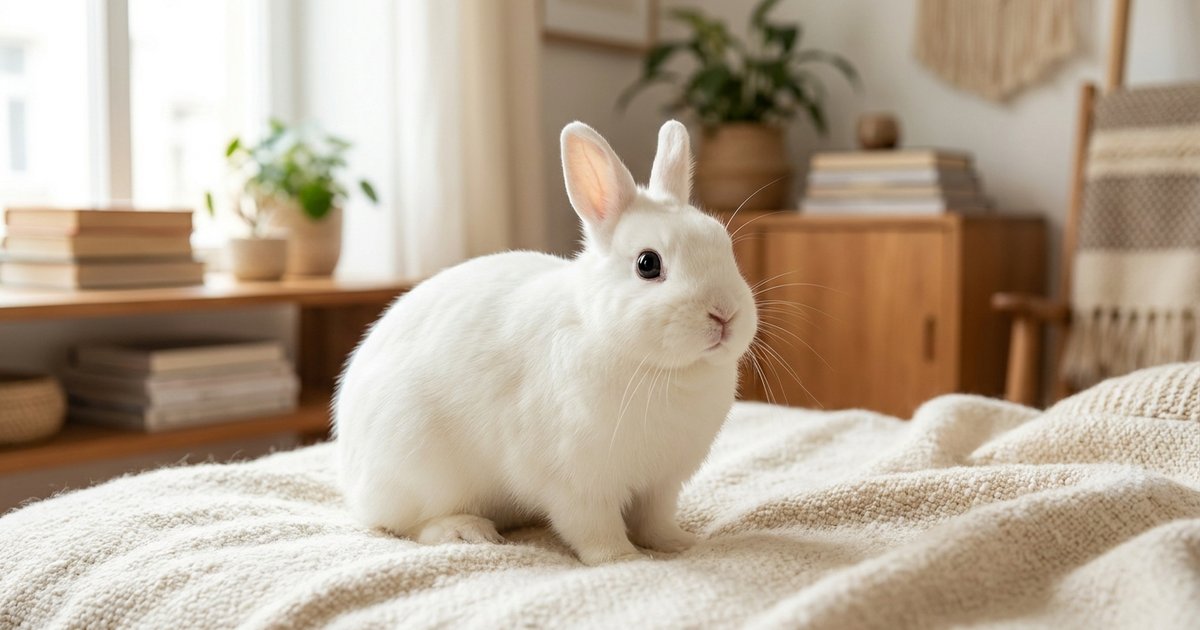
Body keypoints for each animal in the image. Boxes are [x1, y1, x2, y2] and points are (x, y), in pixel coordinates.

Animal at [333, 120, 757, 565]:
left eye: (724, 246)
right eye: (648, 264)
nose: (725, 314)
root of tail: (351, 480)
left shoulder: (660, 485)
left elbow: (653, 522)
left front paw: (679, 544)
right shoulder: (577, 482)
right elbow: (594, 528)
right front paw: (622, 560)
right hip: (420, 470)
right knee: (408, 524)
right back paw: (468, 532)